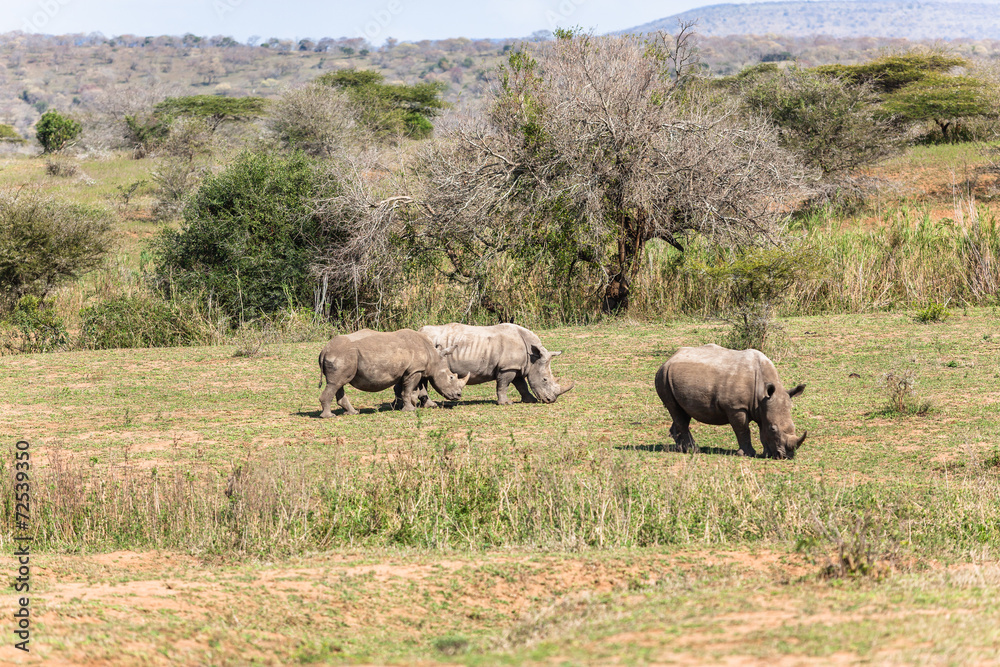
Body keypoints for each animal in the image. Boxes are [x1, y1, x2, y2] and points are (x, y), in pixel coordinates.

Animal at [318, 328, 470, 418]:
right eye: (451, 377)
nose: (458, 395)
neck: (434, 357)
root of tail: (324, 350)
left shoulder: (412, 370)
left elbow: (414, 390)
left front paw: (421, 405)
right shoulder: (414, 371)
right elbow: (408, 390)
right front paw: (410, 409)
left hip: (341, 355)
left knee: (338, 383)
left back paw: (353, 413)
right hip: (341, 355)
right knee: (335, 383)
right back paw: (329, 416)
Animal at [414, 324, 572, 408]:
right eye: (545, 379)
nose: (551, 400)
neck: (533, 357)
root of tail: (419, 331)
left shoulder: (516, 366)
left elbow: (522, 385)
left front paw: (529, 400)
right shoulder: (507, 367)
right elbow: (503, 385)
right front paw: (506, 403)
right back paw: (431, 405)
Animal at [652, 344, 808, 460]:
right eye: (773, 428)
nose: (786, 456)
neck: (762, 394)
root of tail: (668, 359)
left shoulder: (762, 407)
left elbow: (761, 430)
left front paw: (767, 454)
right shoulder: (736, 407)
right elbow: (742, 429)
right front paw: (747, 454)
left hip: (674, 377)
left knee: (682, 412)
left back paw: (681, 449)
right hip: (663, 376)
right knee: (675, 410)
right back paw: (693, 450)